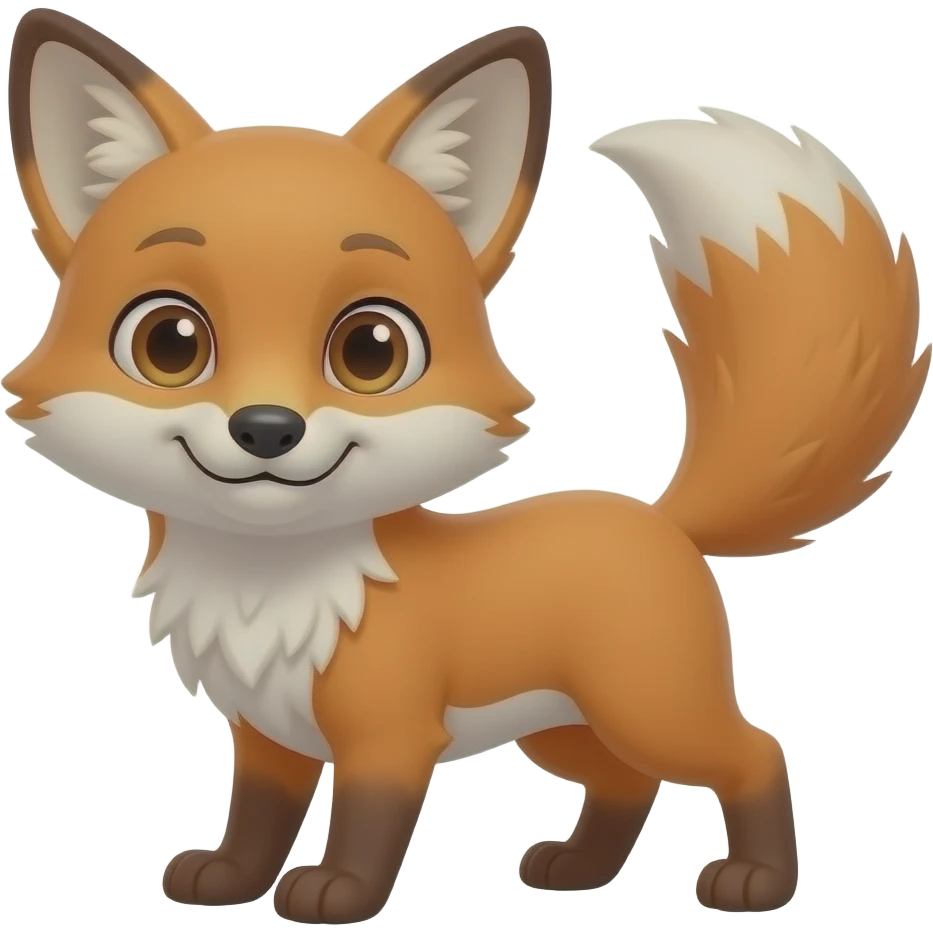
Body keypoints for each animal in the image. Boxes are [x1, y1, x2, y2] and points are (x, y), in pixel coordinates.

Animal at [4, 7, 929, 925]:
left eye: (371, 350)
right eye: (170, 343)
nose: (266, 427)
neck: (272, 585)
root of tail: (658, 516)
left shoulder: (391, 734)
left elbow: (366, 822)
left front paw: (338, 893)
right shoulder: (268, 734)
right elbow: (257, 818)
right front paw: (229, 879)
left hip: (648, 705)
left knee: (753, 751)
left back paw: (756, 881)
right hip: (562, 729)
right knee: (626, 782)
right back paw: (579, 869)